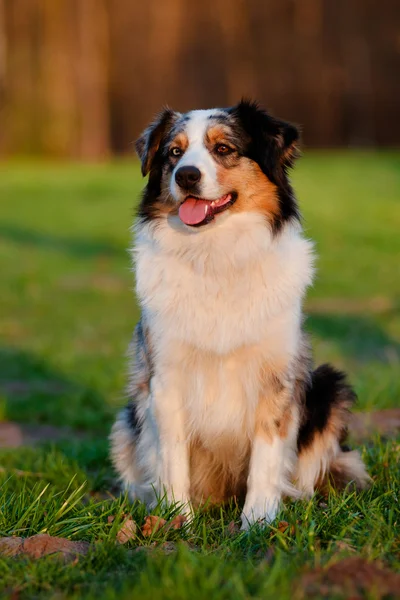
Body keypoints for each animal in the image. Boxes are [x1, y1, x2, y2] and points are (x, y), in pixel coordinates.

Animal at [108, 99, 368, 528]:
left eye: (223, 148)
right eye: (174, 152)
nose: (186, 175)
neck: (216, 257)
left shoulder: (276, 378)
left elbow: (266, 456)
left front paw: (258, 523)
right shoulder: (164, 377)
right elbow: (172, 455)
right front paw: (178, 521)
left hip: (330, 388)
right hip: (126, 422)